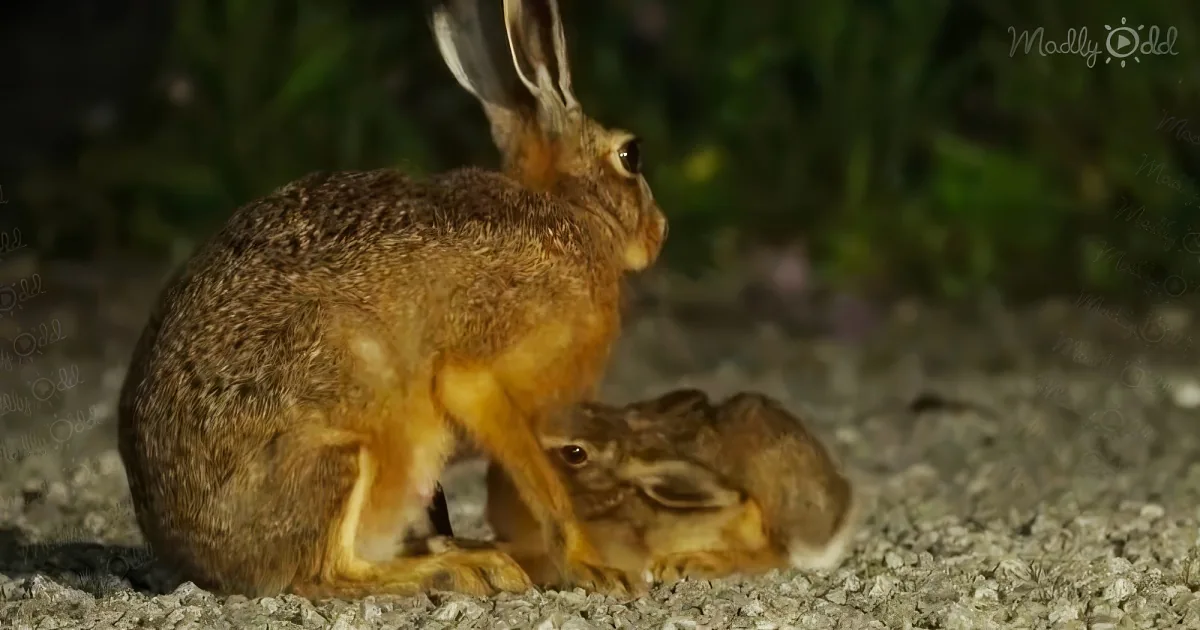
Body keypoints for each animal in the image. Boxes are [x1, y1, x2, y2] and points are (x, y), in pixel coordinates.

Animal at [116, 0, 666, 600]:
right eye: (631, 154)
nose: (660, 232)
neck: (571, 215)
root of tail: (191, 555)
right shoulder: (479, 369)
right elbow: (540, 480)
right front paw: (595, 566)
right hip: (346, 445)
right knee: (327, 573)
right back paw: (462, 568)